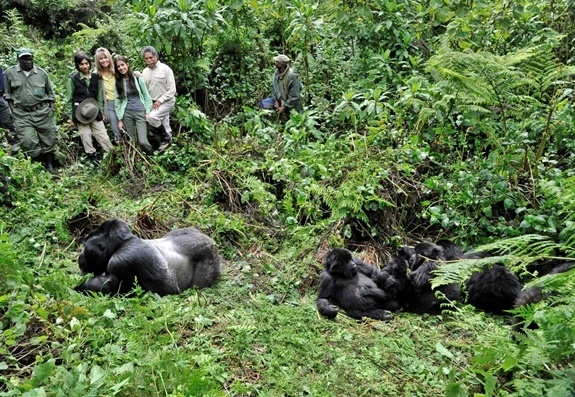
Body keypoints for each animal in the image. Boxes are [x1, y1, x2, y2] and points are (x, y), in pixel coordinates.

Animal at [75, 218, 223, 296]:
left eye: (85, 247)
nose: (80, 256)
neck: (123, 241)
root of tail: (210, 239)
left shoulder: (123, 259)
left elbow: (109, 287)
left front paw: (78, 287)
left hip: (210, 252)